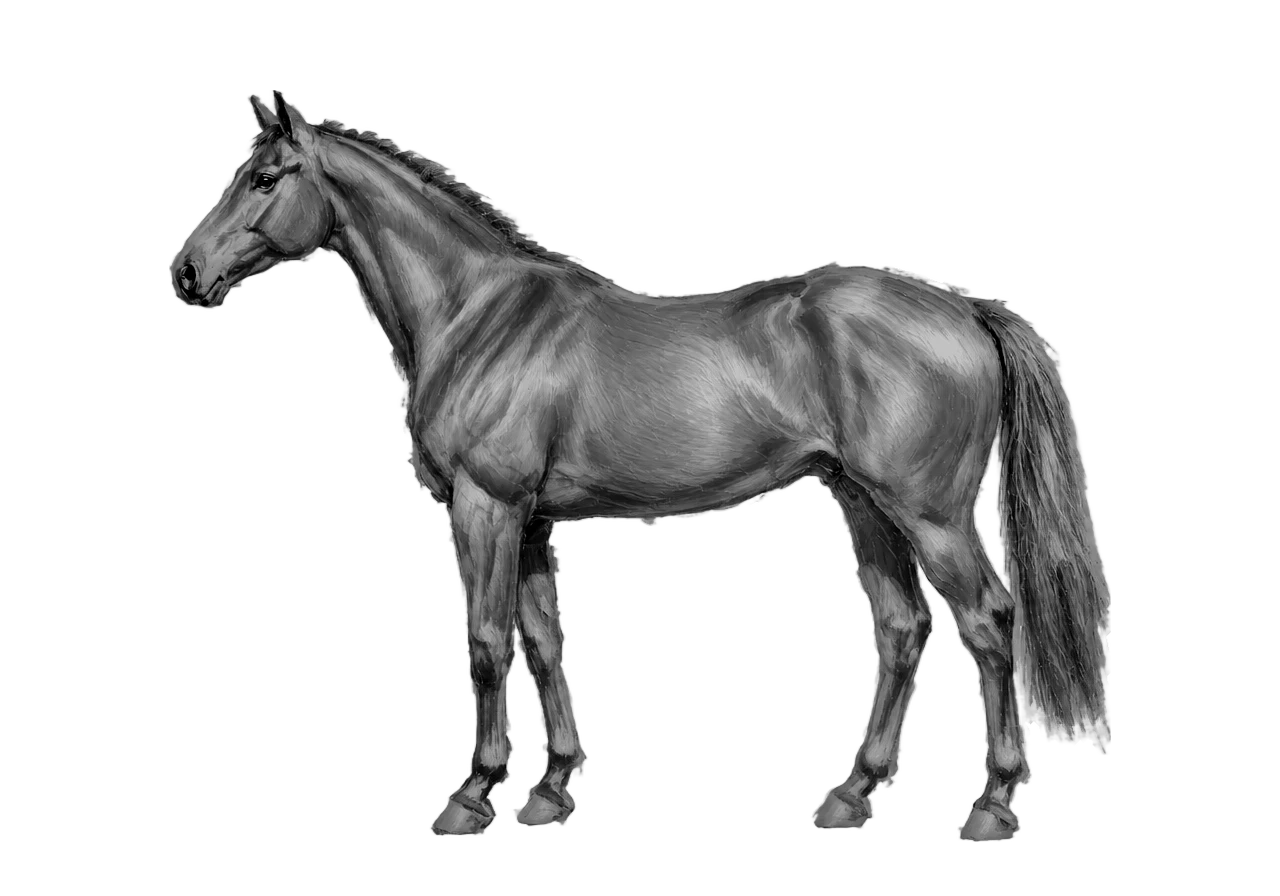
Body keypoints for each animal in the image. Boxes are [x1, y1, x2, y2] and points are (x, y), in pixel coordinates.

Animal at [171, 91, 1108, 841]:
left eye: (266, 178)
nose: (187, 272)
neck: (478, 316)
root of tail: (966, 309)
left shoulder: (485, 506)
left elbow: (485, 644)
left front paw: (472, 795)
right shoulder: (533, 521)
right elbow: (544, 642)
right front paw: (550, 788)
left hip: (929, 513)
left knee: (988, 621)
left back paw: (993, 805)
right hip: (862, 502)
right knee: (901, 629)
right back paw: (852, 793)